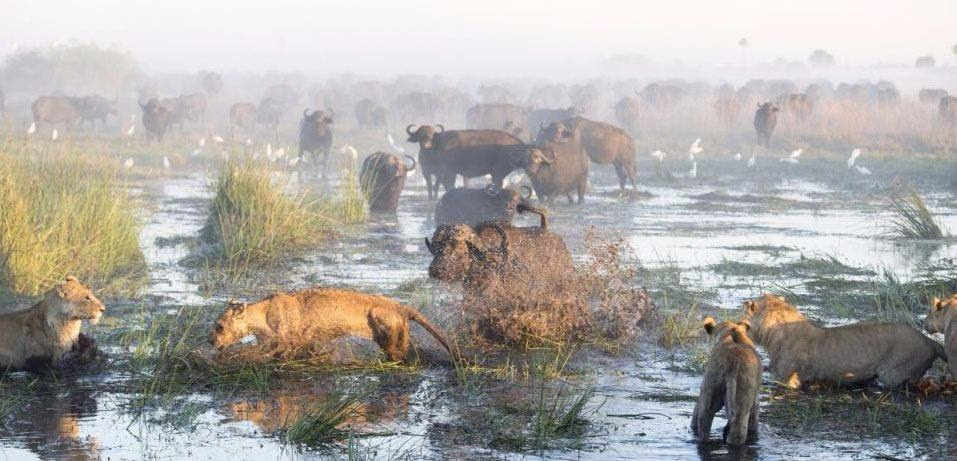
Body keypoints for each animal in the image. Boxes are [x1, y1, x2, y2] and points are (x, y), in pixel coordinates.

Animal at [210, 288, 464, 362]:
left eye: (219, 326)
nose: (209, 341)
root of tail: (403, 307)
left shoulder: (283, 338)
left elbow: (260, 352)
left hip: (383, 323)